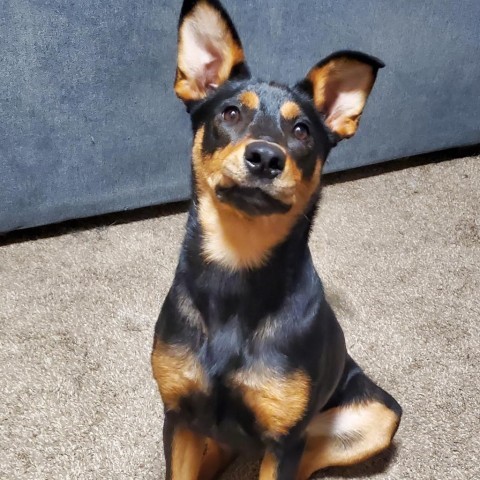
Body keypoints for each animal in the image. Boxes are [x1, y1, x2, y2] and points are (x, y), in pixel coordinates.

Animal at [153, 1, 402, 478]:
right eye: (230, 113)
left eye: (302, 130)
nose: (267, 157)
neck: (236, 264)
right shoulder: (179, 416)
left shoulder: (286, 439)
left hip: (375, 417)